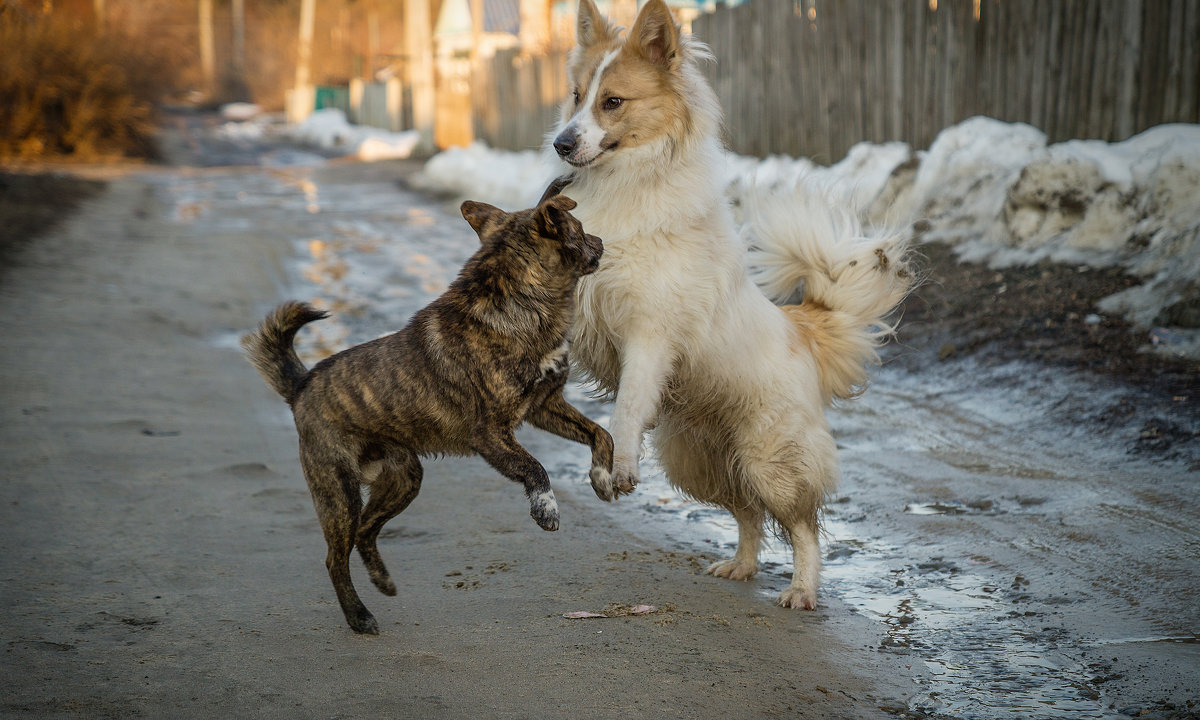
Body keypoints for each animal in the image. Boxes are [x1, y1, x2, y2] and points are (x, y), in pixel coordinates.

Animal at [247, 194, 614, 633]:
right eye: (578, 228)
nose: (602, 241)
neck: (523, 305)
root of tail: (301, 385)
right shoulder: (491, 434)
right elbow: (535, 468)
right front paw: (546, 509)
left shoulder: (546, 407)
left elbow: (600, 433)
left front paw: (603, 478)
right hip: (339, 494)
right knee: (336, 557)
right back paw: (359, 615)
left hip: (404, 478)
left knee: (366, 533)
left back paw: (382, 580)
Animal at [549, 0, 912, 609]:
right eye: (575, 95)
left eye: (613, 101)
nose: (562, 143)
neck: (624, 186)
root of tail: (802, 326)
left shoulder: (650, 336)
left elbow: (627, 408)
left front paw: (620, 464)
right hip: (701, 459)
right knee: (747, 513)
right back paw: (740, 567)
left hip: (771, 458)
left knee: (800, 524)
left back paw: (802, 590)